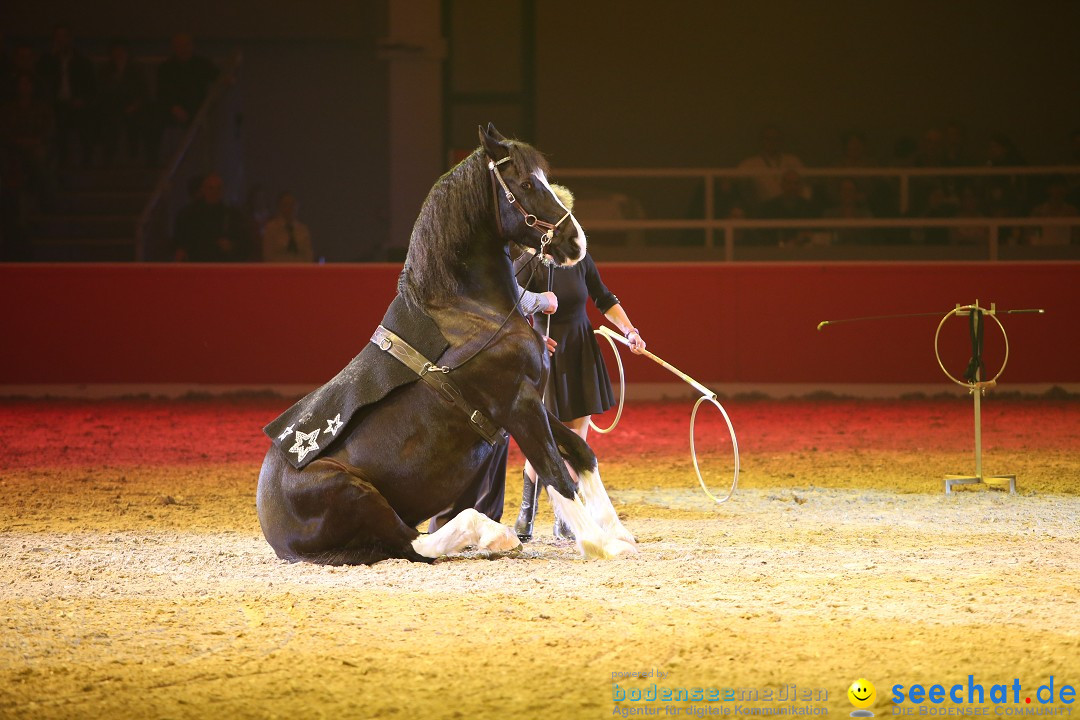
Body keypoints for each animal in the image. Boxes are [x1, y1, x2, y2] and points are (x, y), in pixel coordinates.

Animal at [255, 122, 635, 561]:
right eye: (525, 183)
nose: (576, 242)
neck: (470, 316)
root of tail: (271, 523)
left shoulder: (529, 400)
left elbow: (580, 451)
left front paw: (618, 532)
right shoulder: (517, 404)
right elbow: (555, 470)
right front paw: (600, 543)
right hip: (353, 493)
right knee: (414, 542)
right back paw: (494, 534)